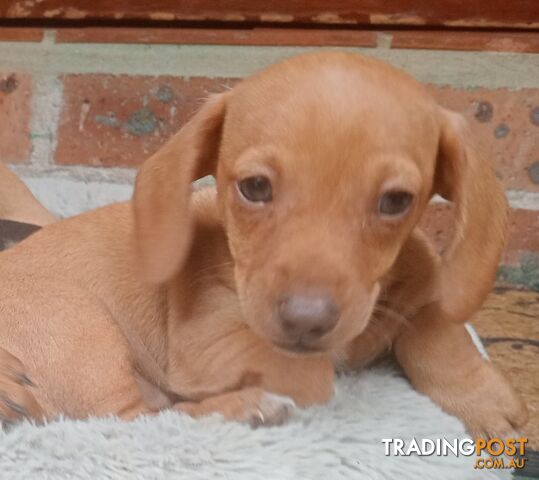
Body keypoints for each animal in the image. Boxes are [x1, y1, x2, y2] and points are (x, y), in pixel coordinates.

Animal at [0, 52, 528, 436]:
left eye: (396, 201)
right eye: (254, 188)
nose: (306, 320)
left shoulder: (422, 283)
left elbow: (440, 323)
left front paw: (484, 398)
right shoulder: (209, 344)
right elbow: (317, 376)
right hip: (79, 326)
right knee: (132, 421)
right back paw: (246, 407)